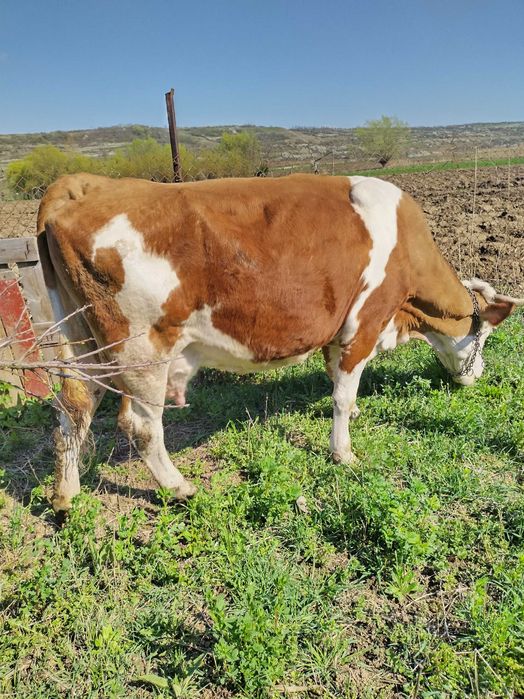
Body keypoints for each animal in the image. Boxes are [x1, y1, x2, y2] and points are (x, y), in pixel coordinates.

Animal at [36, 173, 523, 514]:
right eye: (484, 338)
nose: (476, 376)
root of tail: (84, 185)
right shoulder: (366, 319)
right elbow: (344, 394)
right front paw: (343, 453)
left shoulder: (338, 328)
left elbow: (335, 374)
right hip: (142, 351)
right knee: (139, 425)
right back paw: (179, 488)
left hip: (81, 342)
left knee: (72, 408)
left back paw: (66, 495)